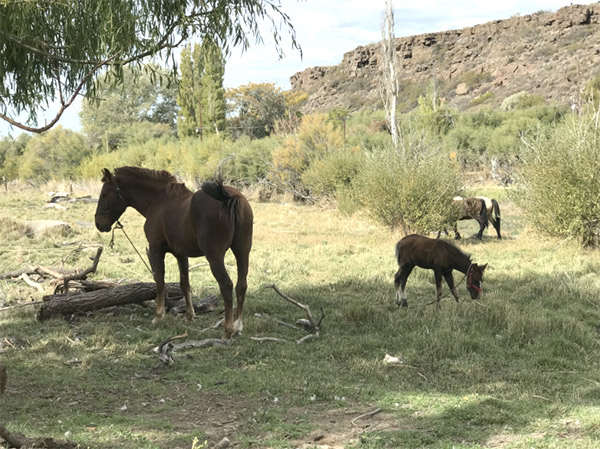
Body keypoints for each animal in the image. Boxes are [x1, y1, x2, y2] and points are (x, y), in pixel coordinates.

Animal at [94, 166, 253, 338]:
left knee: (226, 285)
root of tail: (229, 197)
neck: (159, 201)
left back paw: (228, 330)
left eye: (104, 194)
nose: (98, 223)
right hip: (242, 252)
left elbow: (160, 282)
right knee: (241, 286)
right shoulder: (181, 254)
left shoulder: (156, 249)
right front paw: (190, 315)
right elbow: (185, 284)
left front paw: (158, 316)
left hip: (215, 257)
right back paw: (238, 326)